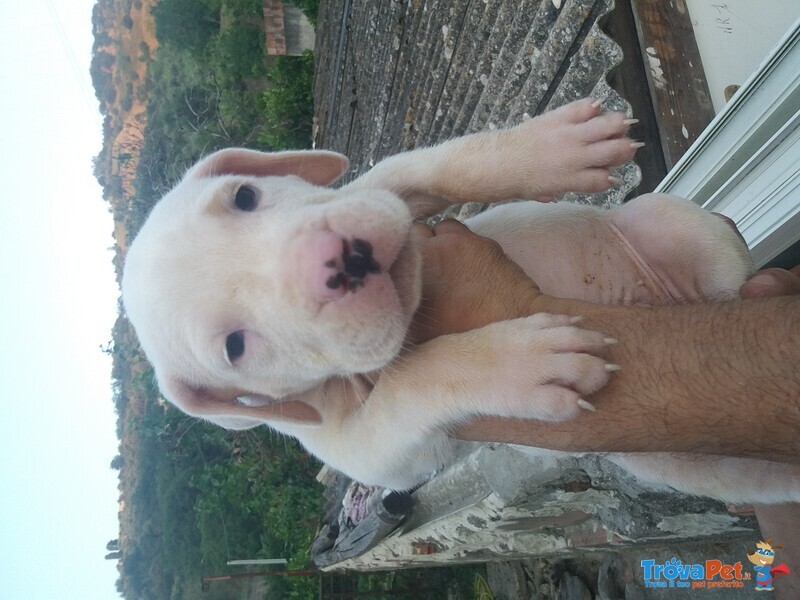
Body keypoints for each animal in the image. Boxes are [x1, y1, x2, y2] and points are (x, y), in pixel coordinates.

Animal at [122, 102, 800, 502]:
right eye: (235, 348)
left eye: (244, 196)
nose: (335, 261)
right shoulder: (373, 451)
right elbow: (411, 384)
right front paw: (525, 365)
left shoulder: (381, 194)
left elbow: (423, 169)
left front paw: (551, 150)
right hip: (697, 461)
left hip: (679, 229)